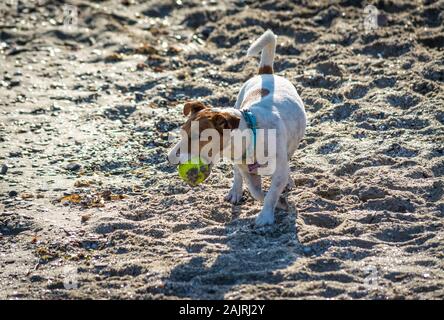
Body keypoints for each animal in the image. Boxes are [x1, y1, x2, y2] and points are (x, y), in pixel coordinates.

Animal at [168, 29, 306, 225]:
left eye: (199, 137)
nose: (169, 158)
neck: (252, 137)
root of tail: (266, 73)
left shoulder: (279, 171)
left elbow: (272, 192)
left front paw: (265, 216)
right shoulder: (247, 170)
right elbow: (257, 192)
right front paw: (278, 204)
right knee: (237, 174)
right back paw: (235, 191)